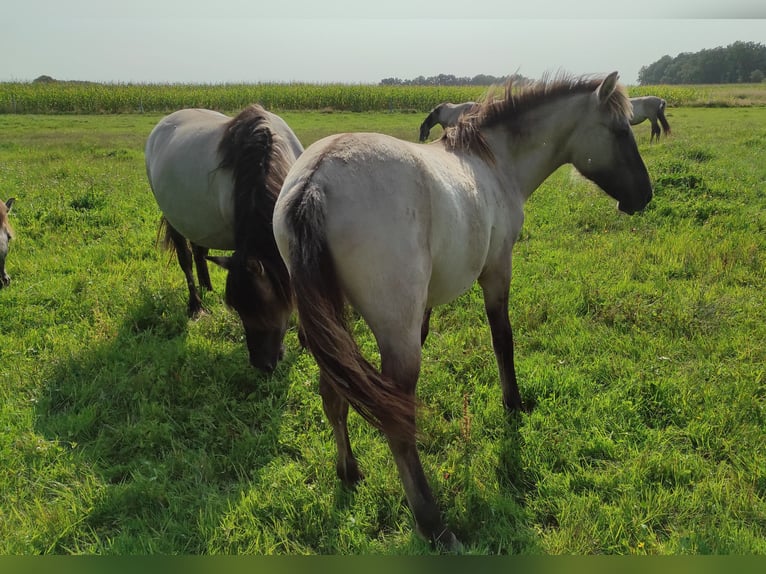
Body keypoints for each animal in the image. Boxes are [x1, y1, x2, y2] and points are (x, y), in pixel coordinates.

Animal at [144, 104, 304, 374]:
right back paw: (196, 306)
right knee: (186, 259)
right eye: (239, 310)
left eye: (265, 308)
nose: (262, 365)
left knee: (200, 252)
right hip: (173, 219)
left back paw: (208, 289)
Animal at [274, 70, 656, 552]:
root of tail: (315, 183)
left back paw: (349, 471)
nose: (644, 195)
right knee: (397, 425)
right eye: (621, 130)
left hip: (333, 325)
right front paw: (514, 404)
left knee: (333, 395)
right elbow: (503, 340)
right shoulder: (497, 270)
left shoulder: (422, 309)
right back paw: (433, 524)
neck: (494, 162)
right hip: (391, 336)